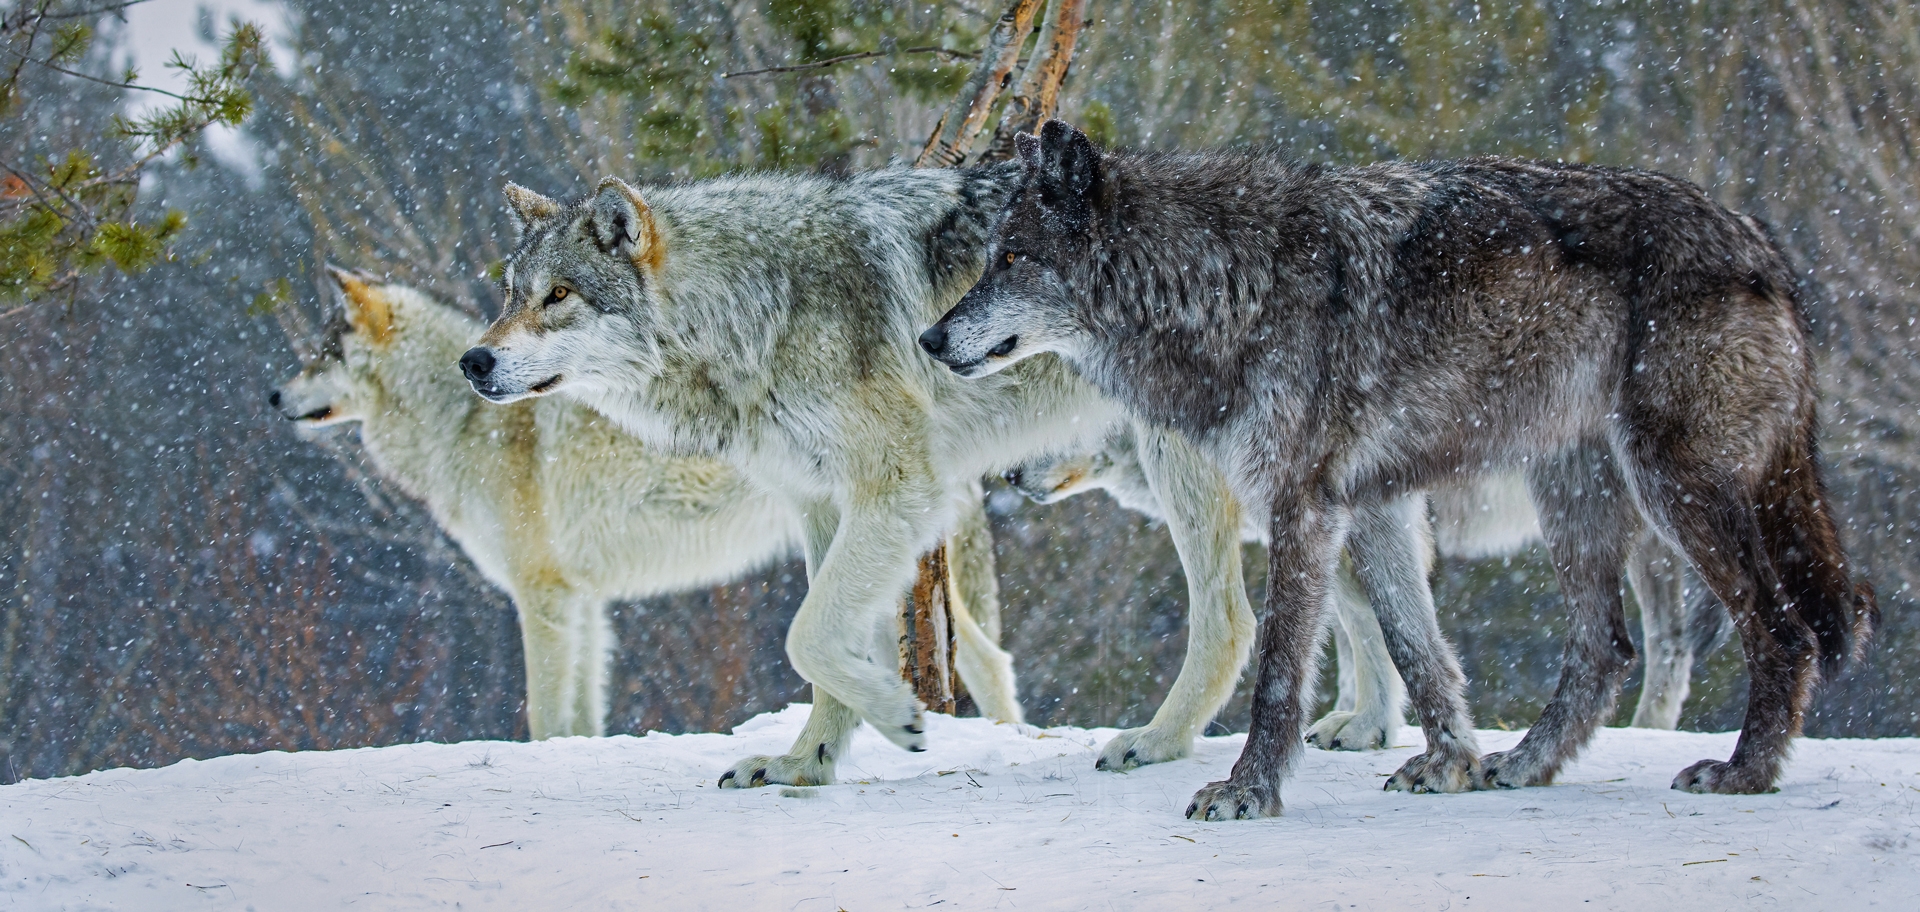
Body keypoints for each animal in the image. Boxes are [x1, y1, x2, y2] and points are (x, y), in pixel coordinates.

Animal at [271, 269, 1023, 738]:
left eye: (323, 353)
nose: (274, 396)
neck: (462, 423)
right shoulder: (583, 604)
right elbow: (579, 719)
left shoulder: (542, 598)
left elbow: (544, 715)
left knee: (987, 661)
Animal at [457, 166, 1267, 786]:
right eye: (510, 293)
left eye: (559, 295)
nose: (473, 360)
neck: (756, 310)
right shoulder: (823, 504)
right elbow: (826, 645)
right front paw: (805, 764)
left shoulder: (898, 486)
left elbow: (806, 635)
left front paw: (896, 714)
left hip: (1179, 464)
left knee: (1230, 619)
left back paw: (1157, 743)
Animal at [1005, 431, 1731, 748]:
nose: (1008, 476)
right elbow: (1361, 635)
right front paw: (1358, 720)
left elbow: (1379, 631)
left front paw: (1372, 727)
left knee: (1671, 644)